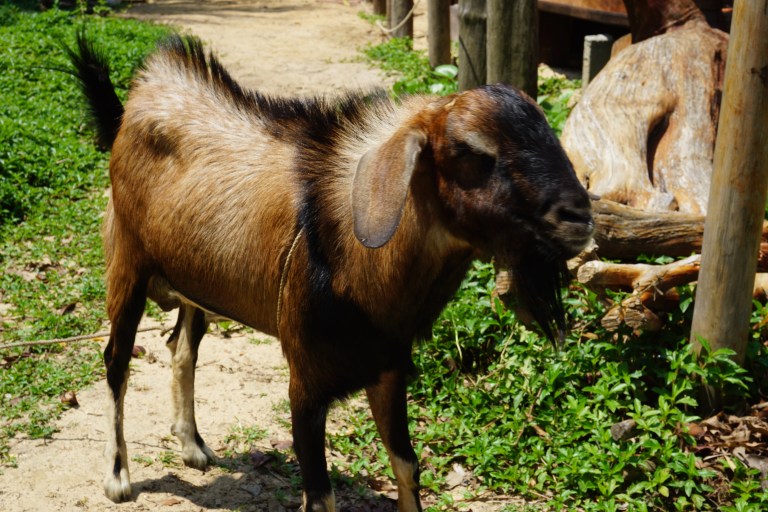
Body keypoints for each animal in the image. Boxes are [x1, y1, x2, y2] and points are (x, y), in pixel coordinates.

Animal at [67, 33, 593, 511]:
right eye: (472, 151)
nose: (580, 217)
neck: (359, 271)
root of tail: (137, 99)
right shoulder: (305, 384)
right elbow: (321, 496)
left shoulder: (388, 368)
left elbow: (407, 464)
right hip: (128, 263)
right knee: (116, 360)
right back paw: (118, 476)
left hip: (195, 281)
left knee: (181, 348)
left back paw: (193, 445)